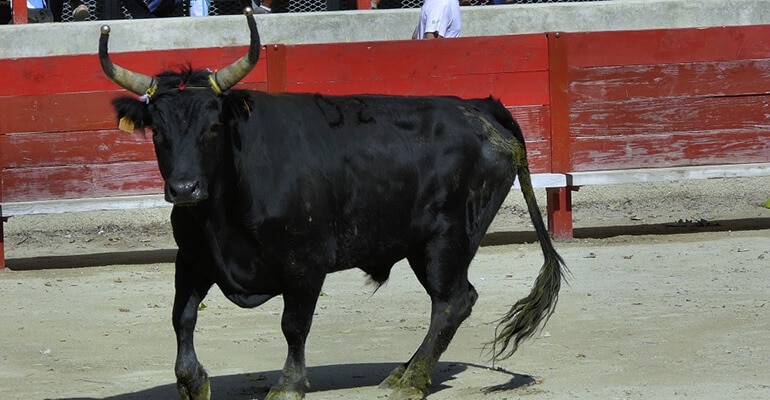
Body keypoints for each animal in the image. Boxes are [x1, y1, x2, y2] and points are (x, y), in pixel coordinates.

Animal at [99, 8, 565, 400]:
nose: (184, 189)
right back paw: (403, 371)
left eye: (213, 126)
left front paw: (288, 385)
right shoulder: (192, 258)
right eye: (157, 131)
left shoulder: (305, 262)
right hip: (422, 244)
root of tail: (480, 108)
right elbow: (182, 316)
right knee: (453, 301)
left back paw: (412, 380)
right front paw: (192, 382)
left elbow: (294, 324)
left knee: (452, 302)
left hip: (449, 239)